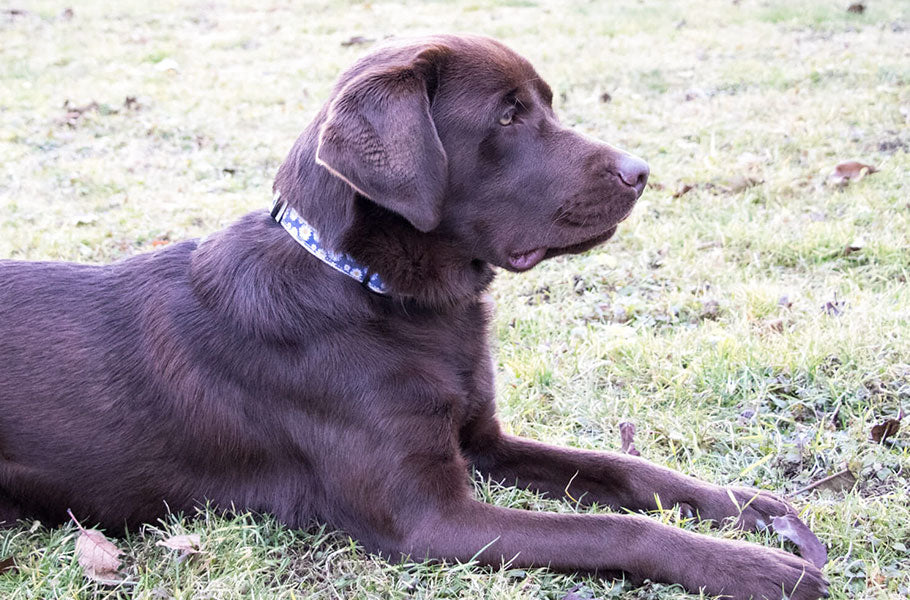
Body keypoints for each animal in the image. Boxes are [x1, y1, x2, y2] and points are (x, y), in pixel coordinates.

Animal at [0, 34, 828, 600]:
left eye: (545, 104)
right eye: (507, 115)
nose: (641, 172)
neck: (388, 300)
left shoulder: (482, 441)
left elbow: (625, 471)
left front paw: (750, 509)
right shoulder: (430, 519)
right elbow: (614, 526)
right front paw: (753, 567)